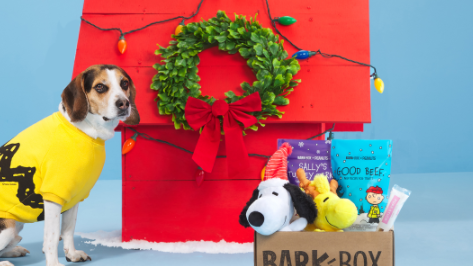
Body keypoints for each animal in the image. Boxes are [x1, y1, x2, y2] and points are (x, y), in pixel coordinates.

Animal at [0, 64, 139, 266]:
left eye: (124, 83)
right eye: (100, 87)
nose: (124, 103)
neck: (85, 132)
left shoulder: (75, 195)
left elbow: (67, 229)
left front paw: (71, 254)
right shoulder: (53, 196)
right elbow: (52, 236)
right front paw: (54, 263)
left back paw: (14, 251)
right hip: (8, 226)